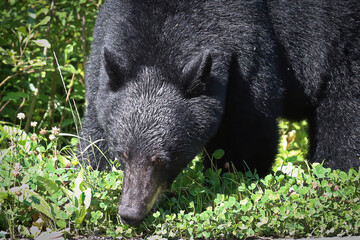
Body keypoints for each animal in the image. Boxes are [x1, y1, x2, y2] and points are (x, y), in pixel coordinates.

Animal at [79, 0, 360, 226]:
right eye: (123, 155)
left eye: (162, 160)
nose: (130, 214)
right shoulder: (102, 61)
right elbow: (95, 132)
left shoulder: (248, 56)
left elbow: (247, 138)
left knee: (343, 121)